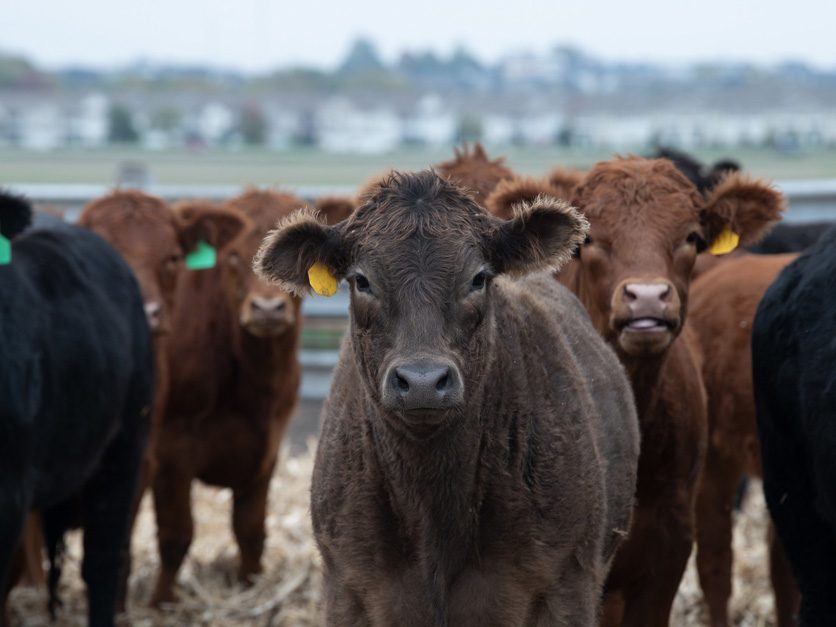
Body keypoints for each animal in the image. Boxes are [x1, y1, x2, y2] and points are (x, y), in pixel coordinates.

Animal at [149, 187, 324, 606]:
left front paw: (250, 588)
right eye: (231, 256)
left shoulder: (266, 451)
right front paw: (160, 603)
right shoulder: (170, 455)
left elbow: (250, 532)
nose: (267, 309)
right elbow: (175, 537)